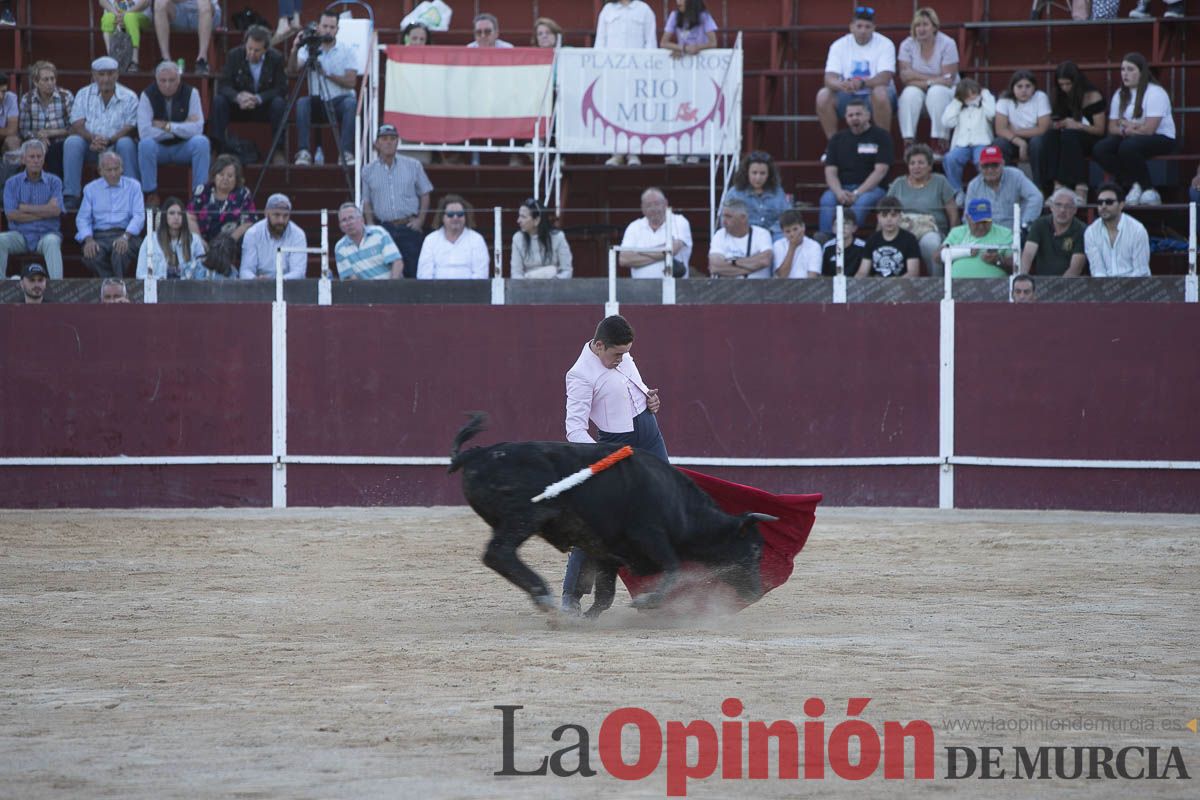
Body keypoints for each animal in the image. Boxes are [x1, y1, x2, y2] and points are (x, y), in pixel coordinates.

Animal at [451, 412, 777, 618]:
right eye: (754, 549)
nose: (756, 592)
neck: (680, 506)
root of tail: (477, 453)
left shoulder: (605, 551)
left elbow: (604, 595)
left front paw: (584, 620)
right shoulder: (649, 535)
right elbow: (673, 569)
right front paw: (647, 601)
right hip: (524, 517)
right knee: (498, 553)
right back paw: (543, 595)